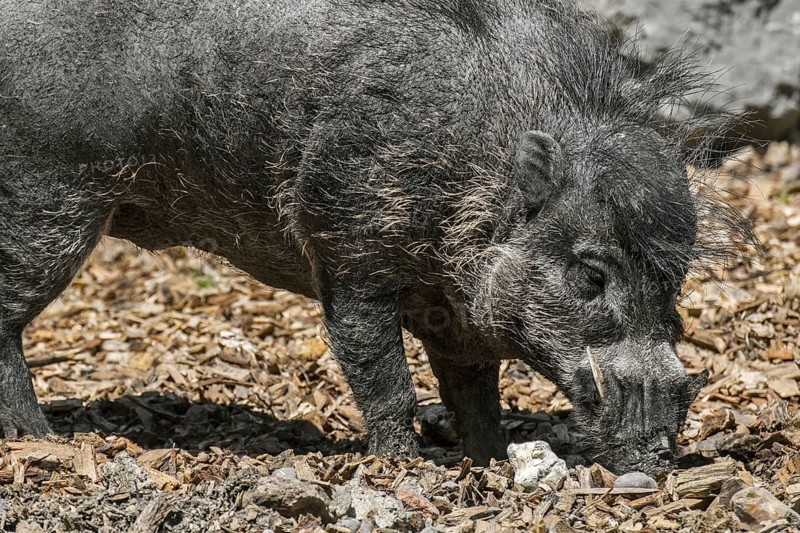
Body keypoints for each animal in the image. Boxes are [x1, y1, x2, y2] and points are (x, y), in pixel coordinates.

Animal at [0, 0, 751, 473]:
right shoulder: (349, 249)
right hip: (49, 203)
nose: (657, 458)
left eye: (675, 280)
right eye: (591, 274)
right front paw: (404, 465)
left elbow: (475, 390)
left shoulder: (457, 311)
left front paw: (487, 461)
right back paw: (40, 438)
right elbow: (382, 375)